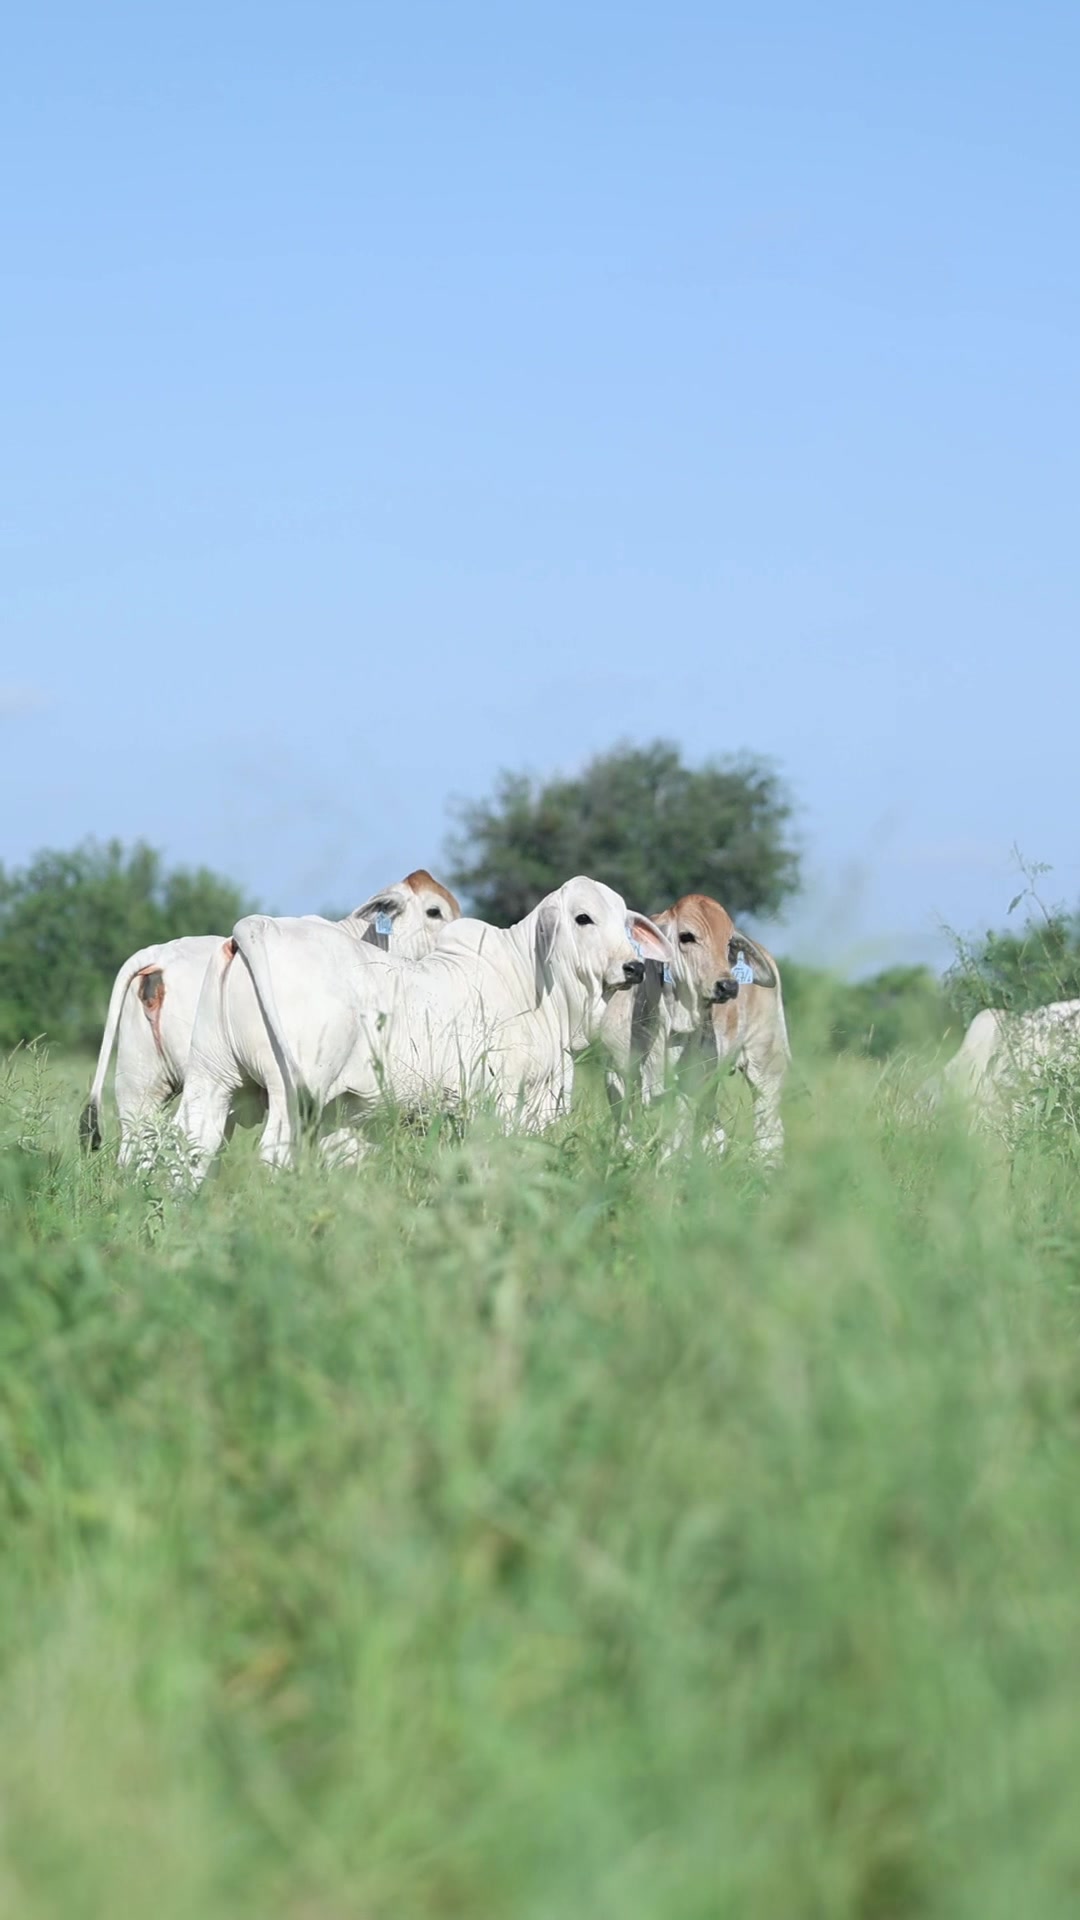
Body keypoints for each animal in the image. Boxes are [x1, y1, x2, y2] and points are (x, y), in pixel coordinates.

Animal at [174, 876, 673, 1183]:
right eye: (582, 918)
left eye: (625, 923)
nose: (631, 966)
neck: (535, 981)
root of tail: (256, 928)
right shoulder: (501, 1097)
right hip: (290, 1092)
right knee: (273, 1153)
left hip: (210, 1080)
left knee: (189, 1151)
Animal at [601, 892, 790, 1160]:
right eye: (687, 936)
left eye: (729, 944)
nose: (728, 986)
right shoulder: (617, 1072)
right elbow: (627, 1130)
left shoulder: (687, 1084)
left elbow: (674, 1140)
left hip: (766, 1066)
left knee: (770, 1131)